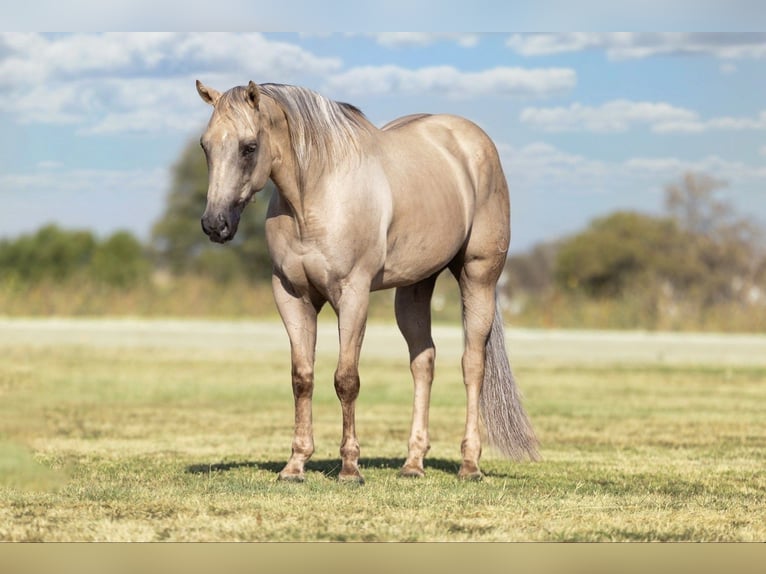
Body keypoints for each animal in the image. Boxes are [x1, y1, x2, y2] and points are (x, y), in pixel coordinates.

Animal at [195, 79, 539, 482]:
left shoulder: (353, 294)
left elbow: (346, 379)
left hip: (478, 276)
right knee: (423, 362)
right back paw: (413, 463)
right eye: (205, 145)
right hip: (415, 287)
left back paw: (469, 464)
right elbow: (302, 378)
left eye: (249, 147)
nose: (214, 224)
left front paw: (350, 467)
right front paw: (295, 465)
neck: (315, 196)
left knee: (472, 365)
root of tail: (474, 142)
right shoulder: (291, 295)